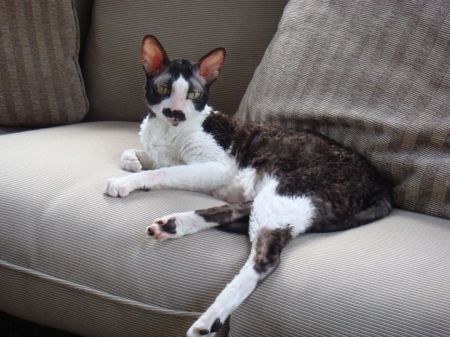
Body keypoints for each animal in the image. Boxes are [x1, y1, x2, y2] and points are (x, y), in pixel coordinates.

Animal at [104, 35, 390, 336]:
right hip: (281, 195)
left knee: (264, 260)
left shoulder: (216, 166)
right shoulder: (163, 153)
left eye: (194, 95)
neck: (167, 131)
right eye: (163, 88)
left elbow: (163, 173)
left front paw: (126, 182)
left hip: (289, 192)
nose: (176, 113)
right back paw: (173, 225)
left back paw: (208, 321)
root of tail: (379, 183)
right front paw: (132, 162)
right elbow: (140, 157)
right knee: (241, 210)